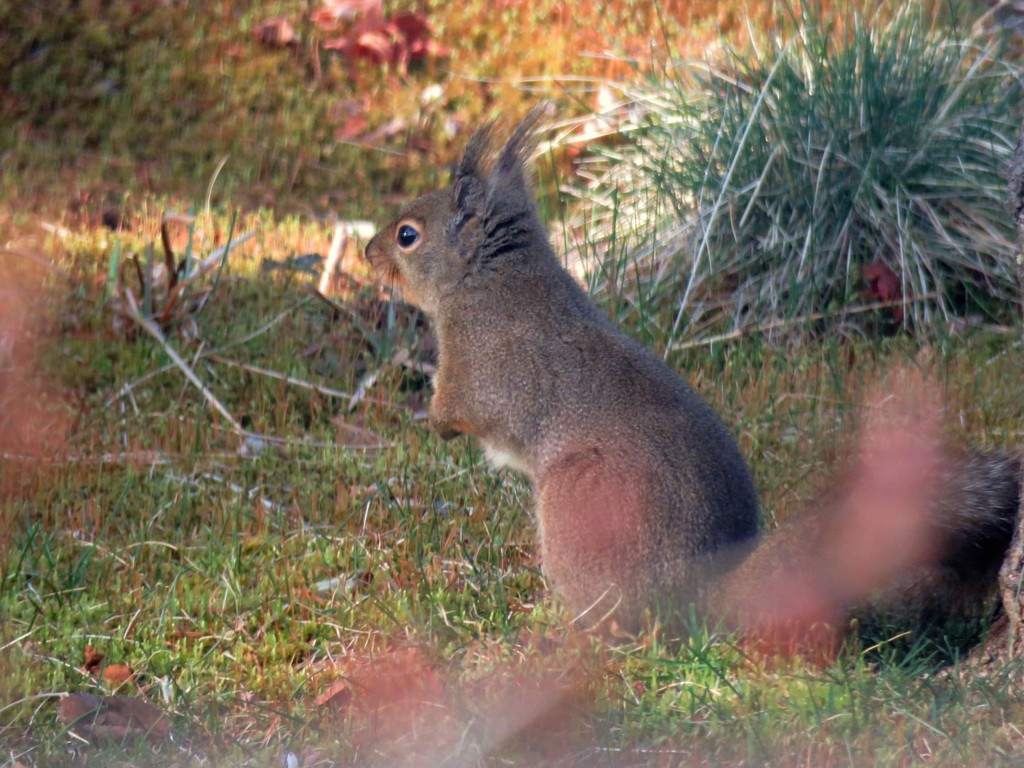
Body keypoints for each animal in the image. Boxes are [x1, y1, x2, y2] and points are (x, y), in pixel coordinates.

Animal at [364, 105, 1019, 638]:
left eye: (407, 235)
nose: (368, 253)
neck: (488, 280)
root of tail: (702, 595)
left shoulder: (482, 369)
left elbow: (465, 409)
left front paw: (433, 422)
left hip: (581, 508)